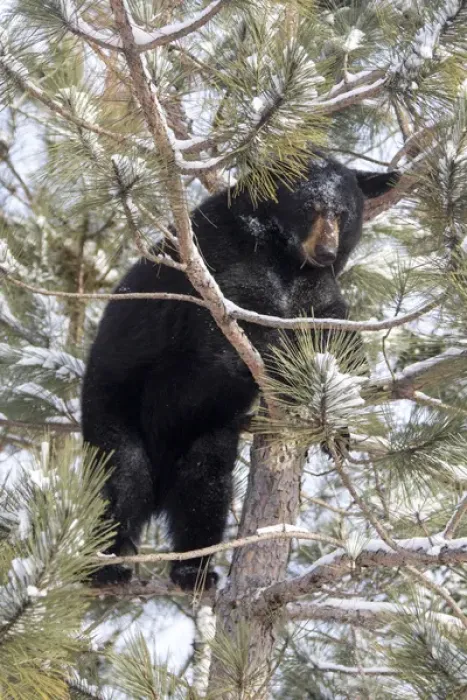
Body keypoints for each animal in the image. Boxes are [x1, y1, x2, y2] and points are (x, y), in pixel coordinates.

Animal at [81, 154, 398, 590]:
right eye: (310, 207)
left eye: (343, 213)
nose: (326, 250)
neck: (285, 256)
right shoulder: (224, 259)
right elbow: (244, 315)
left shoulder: (314, 283)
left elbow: (332, 325)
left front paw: (338, 420)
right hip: (113, 400)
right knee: (120, 478)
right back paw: (108, 565)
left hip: (209, 436)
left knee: (205, 489)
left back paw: (193, 569)